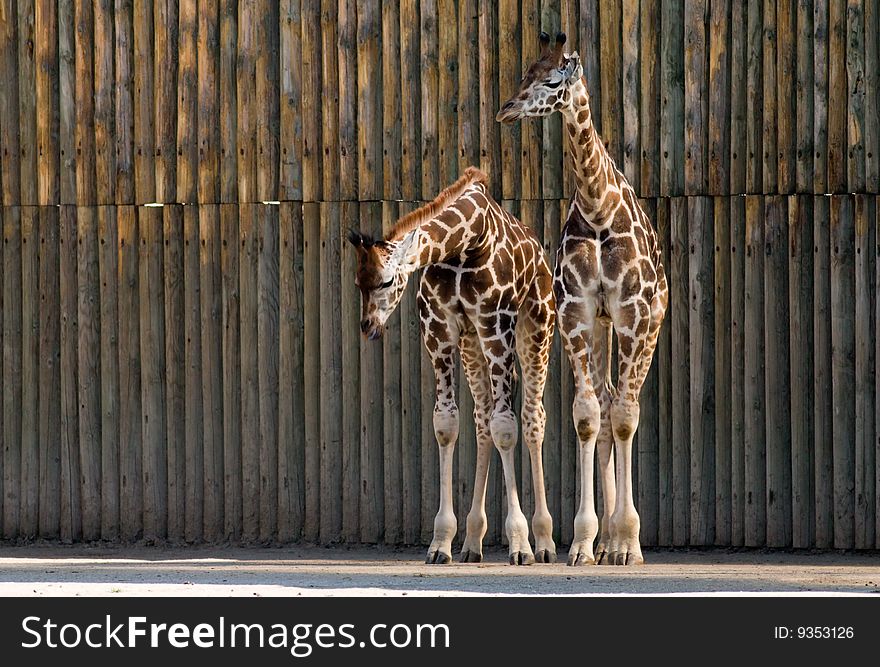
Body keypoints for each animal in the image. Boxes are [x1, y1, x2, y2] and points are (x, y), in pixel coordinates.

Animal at [346, 166, 556, 564]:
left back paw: (545, 542)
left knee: (532, 418)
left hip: (536, 328)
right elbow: (447, 424)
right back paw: (473, 543)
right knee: (482, 420)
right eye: (357, 283)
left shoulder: (495, 323)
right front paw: (440, 543)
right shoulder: (440, 329)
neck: (464, 247)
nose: (368, 326)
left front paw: (520, 545)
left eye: (385, 280)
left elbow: (507, 427)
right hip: (472, 343)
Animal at [496, 30, 668, 564]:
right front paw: (585, 541)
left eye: (553, 81)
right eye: (524, 72)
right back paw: (606, 541)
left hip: (649, 323)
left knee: (625, 405)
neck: (597, 206)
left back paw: (621, 542)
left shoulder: (631, 312)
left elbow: (626, 418)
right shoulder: (578, 312)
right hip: (601, 329)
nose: (506, 109)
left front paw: (629, 542)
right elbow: (589, 416)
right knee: (608, 400)